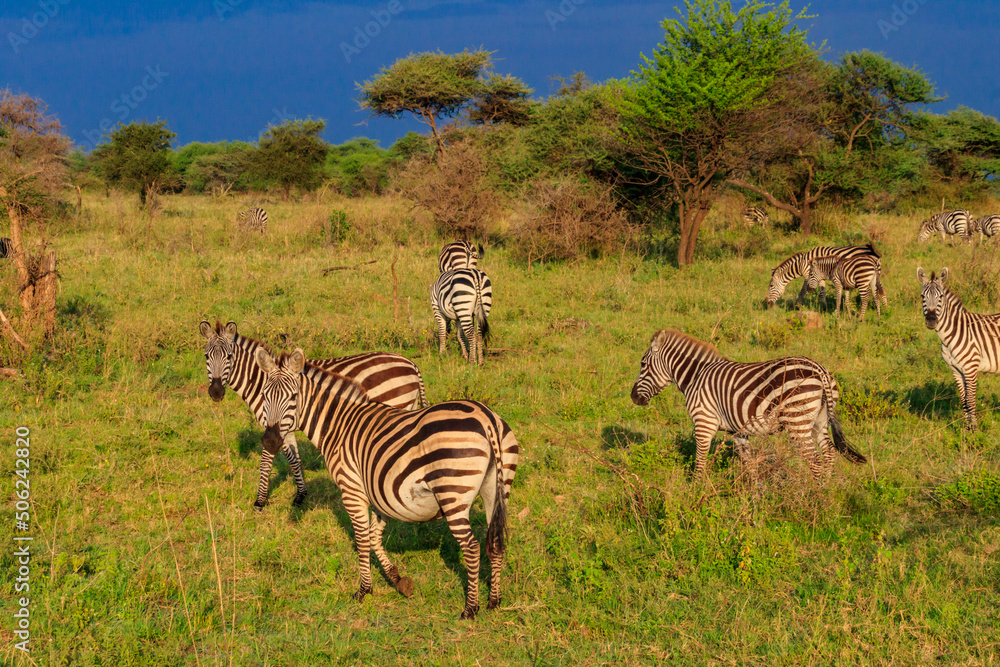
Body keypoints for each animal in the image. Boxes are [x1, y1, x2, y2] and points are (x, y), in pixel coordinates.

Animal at [199, 320, 428, 510]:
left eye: (229, 357)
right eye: (206, 356)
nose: (216, 392)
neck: (261, 381)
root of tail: (411, 364)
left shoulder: (272, 425)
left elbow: (266, 461)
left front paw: (260, 501)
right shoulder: (285, 427)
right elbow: (294, 459)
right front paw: (301, 495)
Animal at [255, 347, 519, 619]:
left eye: (293, 397)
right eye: (263, 396)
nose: (270, 441)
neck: (339, 425)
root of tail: (486, 419)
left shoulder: (352, 490)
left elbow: (362, 538)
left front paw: (364, 590)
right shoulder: (379, 490)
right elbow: (373, 536)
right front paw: (399, 581)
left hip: (452, 493)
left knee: (472, 547)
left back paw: (470, 608)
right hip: (497, 490)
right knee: (495, 542)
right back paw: (494, 601)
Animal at [630, 329, 866, 480]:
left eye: (642, 364)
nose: (633, 398)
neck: (696, 376)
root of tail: (819, 369)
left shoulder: (704, 422)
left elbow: (700, 459)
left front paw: (696, 491)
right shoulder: (738, 431)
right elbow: (749, 463)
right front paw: (756, 496)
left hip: (797, 420)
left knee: (815, 460)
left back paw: (816, 500)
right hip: (819, 420)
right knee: (829, 453)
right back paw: (826, 489)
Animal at [917, 267, 1000, 431]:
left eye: (941, 296)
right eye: (923, 296)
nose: (931, 321)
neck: (951, 335)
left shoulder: (970, 369)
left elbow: (971, 400)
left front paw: (975, 431)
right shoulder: (956, 370)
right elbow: (964, 400)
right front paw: (967, 428)